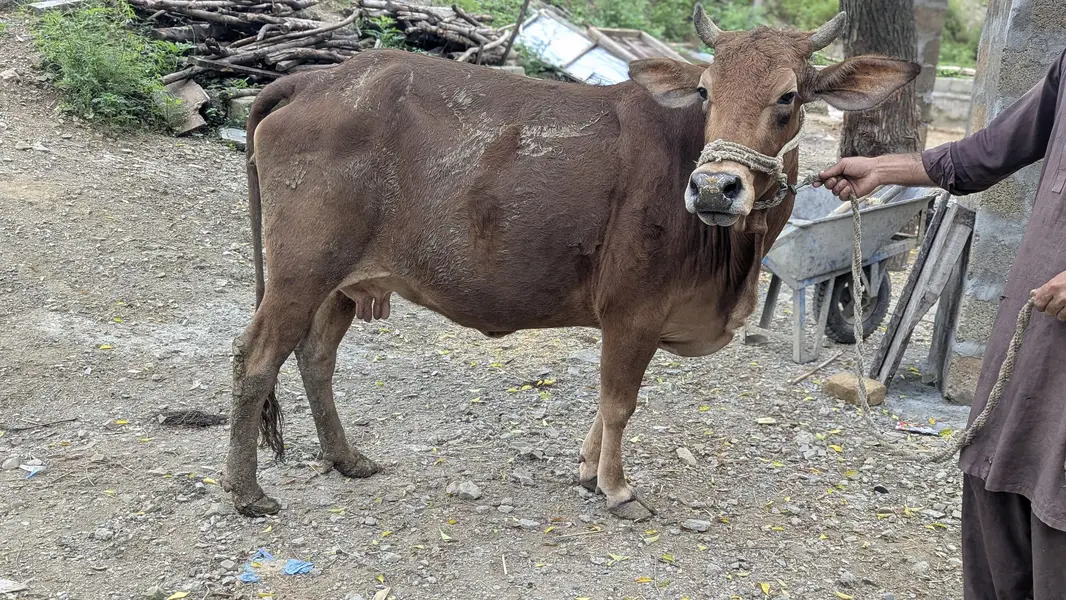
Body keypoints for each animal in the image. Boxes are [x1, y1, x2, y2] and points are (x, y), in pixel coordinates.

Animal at [222, 4, 920, 521]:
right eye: (704, 92)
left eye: (789, 97)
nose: (714, 188)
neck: (732, 254)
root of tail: (317, 77)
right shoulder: (633, 310)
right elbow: (619, 402)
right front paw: (617, 489)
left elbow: (608, 404)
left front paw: (588, 473)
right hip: (300, 272)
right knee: (256, 358)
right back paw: (247, 491)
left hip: (342, 283)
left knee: (315, 356)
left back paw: (347, 458)